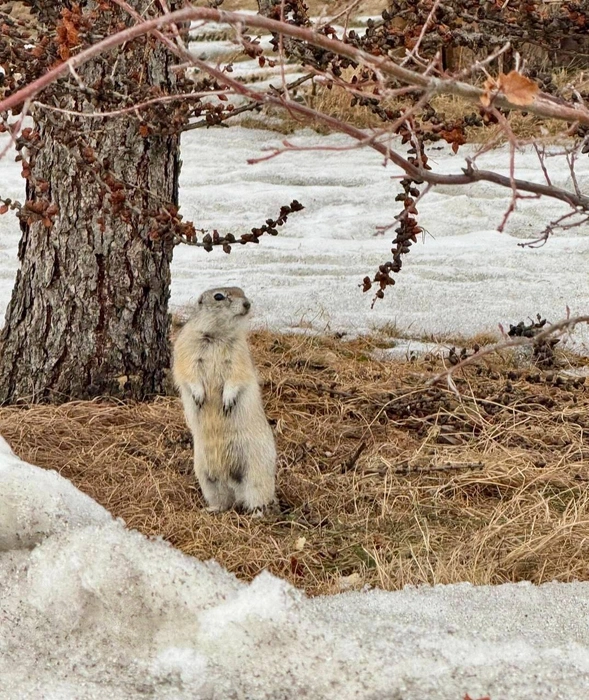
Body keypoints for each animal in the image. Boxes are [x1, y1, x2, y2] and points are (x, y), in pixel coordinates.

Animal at [172, 288, 276, 512]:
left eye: (243, 291)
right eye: (218, 296)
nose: (247, 304)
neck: (217, 335)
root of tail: (233, 482)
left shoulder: (239, 353)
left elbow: (236, 376)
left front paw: (227, 401)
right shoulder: (186, 346)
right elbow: (188, 372)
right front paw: (199, 396)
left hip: (258, 472)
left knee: (256, 497)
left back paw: (257, 512)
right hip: (206, 477)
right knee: (224, 501)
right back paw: (211, 509)